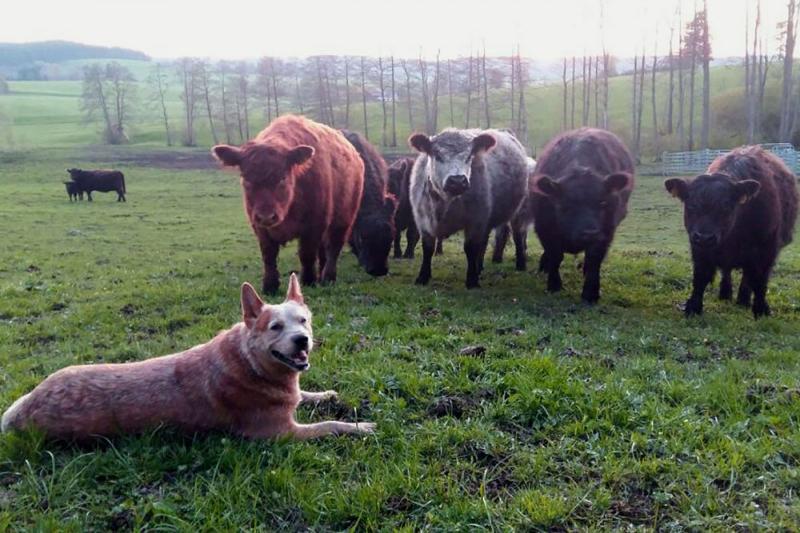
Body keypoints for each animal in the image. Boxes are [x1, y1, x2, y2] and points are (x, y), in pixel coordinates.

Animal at [0, 274, 376, 440]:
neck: (251, 366)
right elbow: (329, 425)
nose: (302, 340)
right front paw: (359, 426)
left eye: (303, 321)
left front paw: (325, 394)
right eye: (275, 327)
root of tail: (24, 407)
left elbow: (307, 395)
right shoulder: (280, 433)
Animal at [211, 115, 364, 296]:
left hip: (344, 219)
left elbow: (306, 254)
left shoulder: (315, 223)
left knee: (334, 247)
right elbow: (268, 255)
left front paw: (308, 281)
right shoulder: (259, 226)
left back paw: (328, 277)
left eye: (282, 178)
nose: (267, 216)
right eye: (246, 178)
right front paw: (269, 285)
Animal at [410, 127, 528, 288]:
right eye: (437, 155)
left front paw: (472, 280)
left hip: (516, 213)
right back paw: (480, 267)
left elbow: (470, 248)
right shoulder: (423, 220)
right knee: (484, 242)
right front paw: (423, 277)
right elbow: (427, 248)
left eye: (469, 157)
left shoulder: (475, 221)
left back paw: (520, 263)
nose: (457, 181)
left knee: (517, 236)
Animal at [528, 128, 636, 302]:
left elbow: (594, 260)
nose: (589, 233)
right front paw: (554, 285)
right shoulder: (544, 228)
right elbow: (555, 255)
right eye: (565, 205)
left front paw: (590, 293)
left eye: (602, 203)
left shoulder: (606, 232)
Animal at [664, 145, 800, 318]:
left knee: (747, 276)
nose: (705, 237)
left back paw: (742, 300)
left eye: (726, 206)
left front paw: (761, 309)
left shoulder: (767, 250)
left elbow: (760, 281)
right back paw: (725, 294)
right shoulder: (699, 248)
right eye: (691, 205)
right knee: (727, 271)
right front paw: (693, 308)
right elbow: (700, 278)